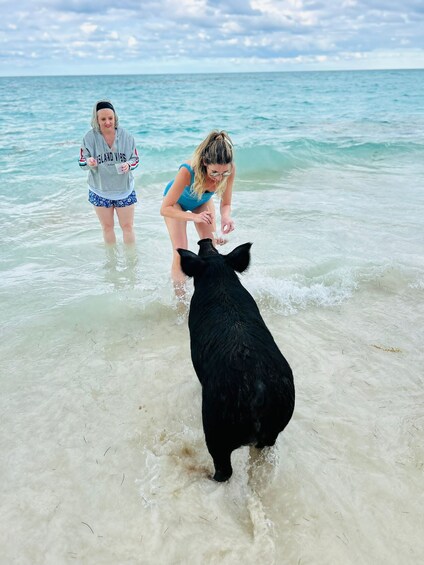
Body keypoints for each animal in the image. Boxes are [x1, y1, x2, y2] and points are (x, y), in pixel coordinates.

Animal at [176, 238, 294, 480]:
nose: (205, 240)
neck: (219, 276)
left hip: (215, 429)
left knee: (224, 470)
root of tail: (259, 393)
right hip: (275, 428)